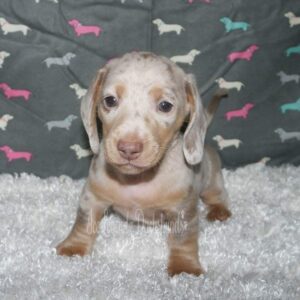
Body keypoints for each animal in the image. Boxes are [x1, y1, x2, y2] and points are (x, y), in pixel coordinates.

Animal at [55, 51, 232, 276]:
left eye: (165, 105)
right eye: (110, 100)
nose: (128, 148)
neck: (138, 179)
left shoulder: (183, 210)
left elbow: (183, 238)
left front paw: (184, 267)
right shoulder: (92, 196)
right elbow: (84, 221)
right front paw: (74, 246)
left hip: (211, 179)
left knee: (217, 195)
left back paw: (219, 210)